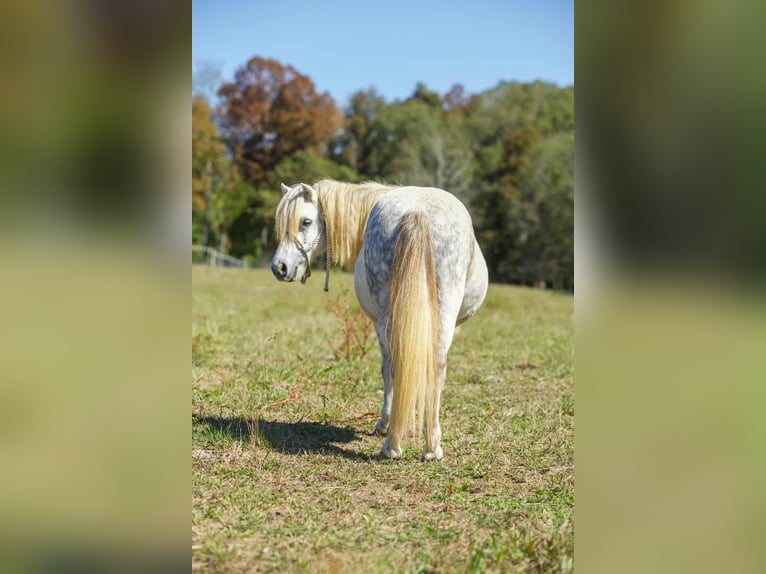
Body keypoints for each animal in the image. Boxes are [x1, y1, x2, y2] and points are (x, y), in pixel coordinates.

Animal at [271, 180, 488, 460]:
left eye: (306, 221)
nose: (279, 267)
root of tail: (417, 210)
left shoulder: (376, 323)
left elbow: (386, 369)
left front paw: (384, 423)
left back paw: (394, 444)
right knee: (434, 367)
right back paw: (429, 447)